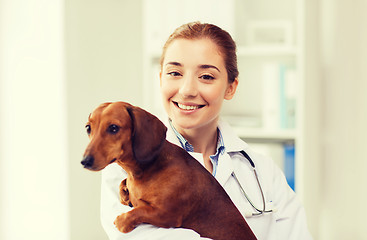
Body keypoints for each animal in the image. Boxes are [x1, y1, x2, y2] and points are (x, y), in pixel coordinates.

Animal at [82, 101, 258, 240]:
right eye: (88, 128)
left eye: (113, 128)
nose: (84, 161)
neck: (148, 169)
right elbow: (123, 184)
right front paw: (125, 193)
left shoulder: (167, 215)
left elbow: (140, 210)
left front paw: (123, 221)